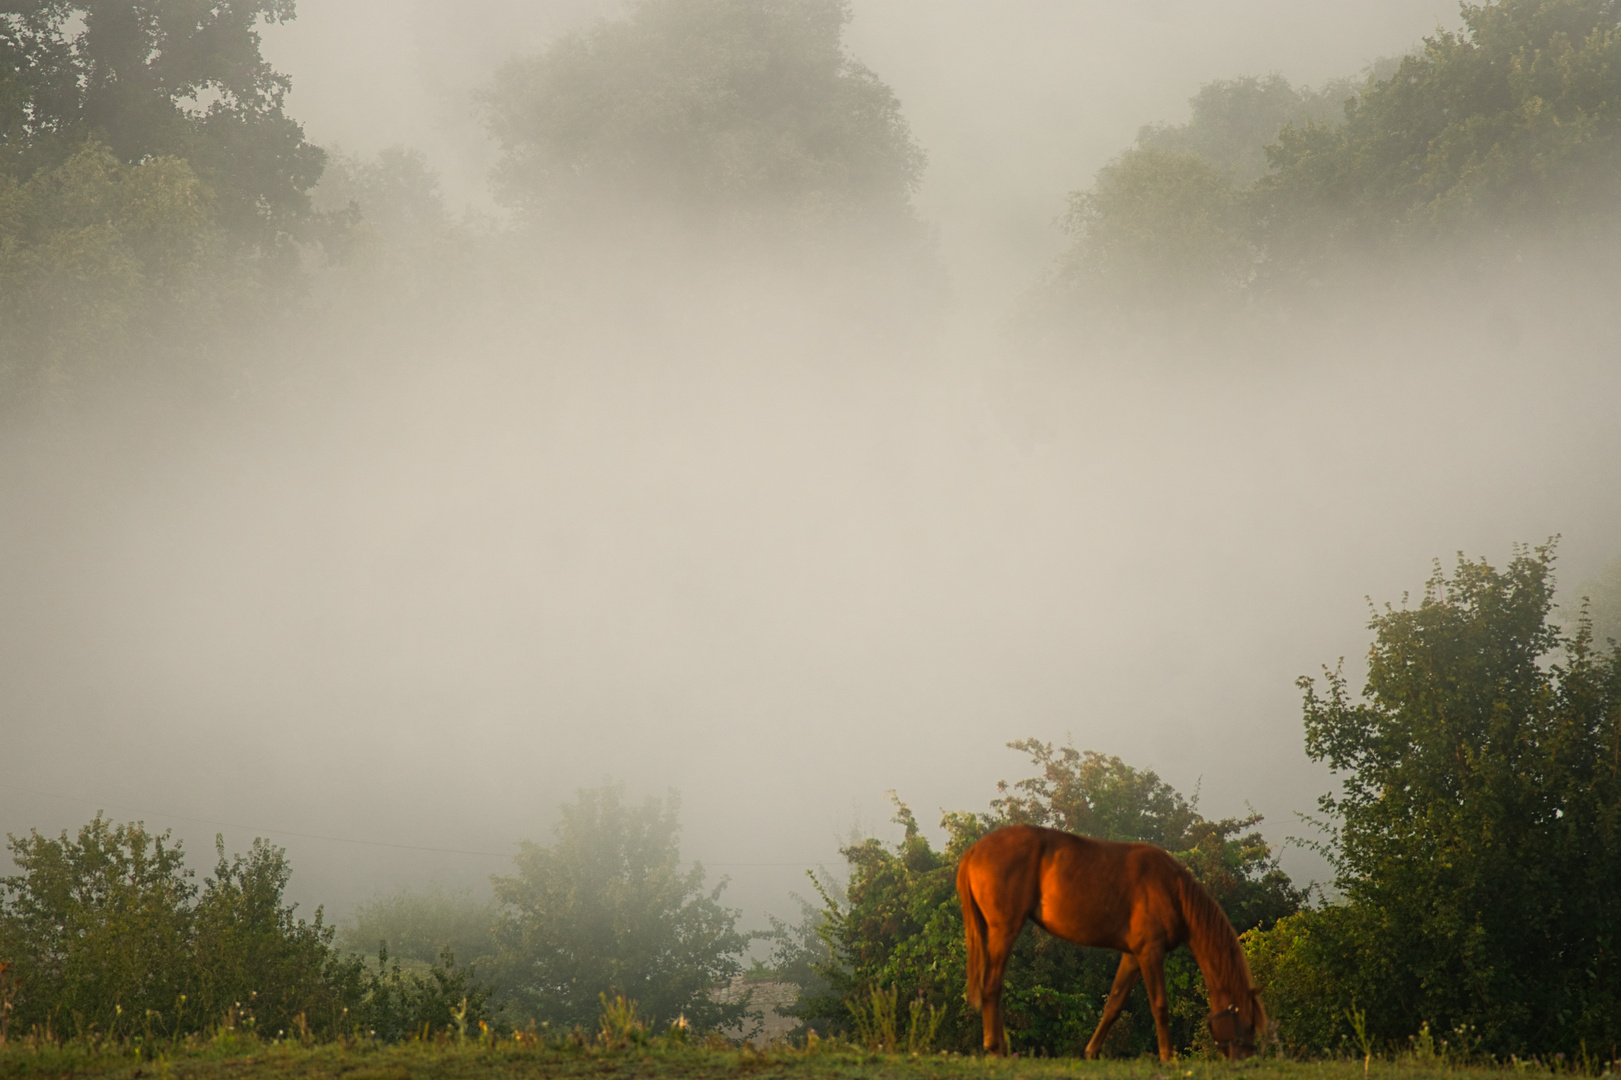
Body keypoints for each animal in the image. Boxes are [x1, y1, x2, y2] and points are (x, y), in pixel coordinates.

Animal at [959, 823, 1264, 1057]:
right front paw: (1168, 1058)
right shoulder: (1150, 952)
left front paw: (1091, 1052)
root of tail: (974, 851)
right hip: (1004, 930)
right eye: (1247, 1022)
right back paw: (996, 1049)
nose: (1245, 1060)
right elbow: (1160, 1005)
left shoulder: (1132, 955)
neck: (1173, 890)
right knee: (991, 987)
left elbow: (1113, 1006)